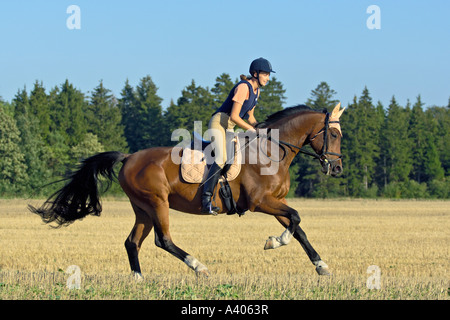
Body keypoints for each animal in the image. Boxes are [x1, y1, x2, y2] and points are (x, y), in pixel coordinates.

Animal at [29, 104, 344, 278]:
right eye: (334, 134)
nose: (338, 168)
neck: (271, 150)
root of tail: (129, 157)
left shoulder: (275, 200)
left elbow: (298, 227)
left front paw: (321, 266)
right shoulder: (261, 202)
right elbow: (297, 219)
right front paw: (274, 242)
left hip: (142, 208)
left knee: (133, 242)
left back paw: (138, 280)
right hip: (157, 203)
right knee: (163, 240)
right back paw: (199, 267)